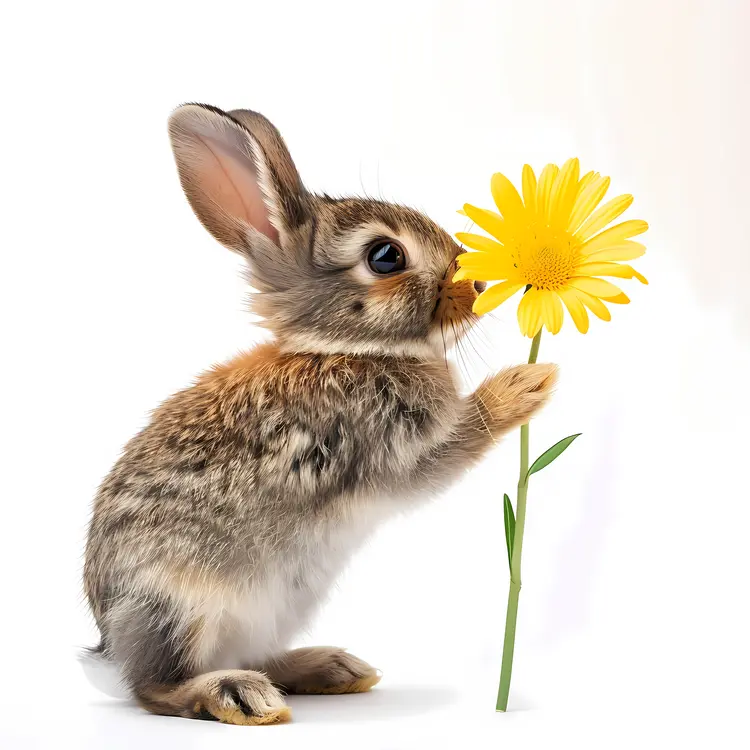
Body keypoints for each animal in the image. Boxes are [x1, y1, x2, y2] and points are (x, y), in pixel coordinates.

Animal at [81, 103, 558, 725]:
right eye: (386, 256)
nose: (477, 282)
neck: (345, 349)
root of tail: (110, 646)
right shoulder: (384, 446)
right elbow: (451, 448)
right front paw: (524, 385)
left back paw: (332, 668)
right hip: (179, 607)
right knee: (157, 688)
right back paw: (240, 695)